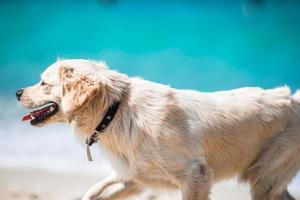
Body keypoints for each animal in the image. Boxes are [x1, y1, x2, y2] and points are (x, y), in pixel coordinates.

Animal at [17, 58, 300, 199]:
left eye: (43, 83)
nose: (18, 92)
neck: (116, 110)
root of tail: (293, 99)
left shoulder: (194, 175)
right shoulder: (135, 177)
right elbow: (94, 192)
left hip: (264, 178)